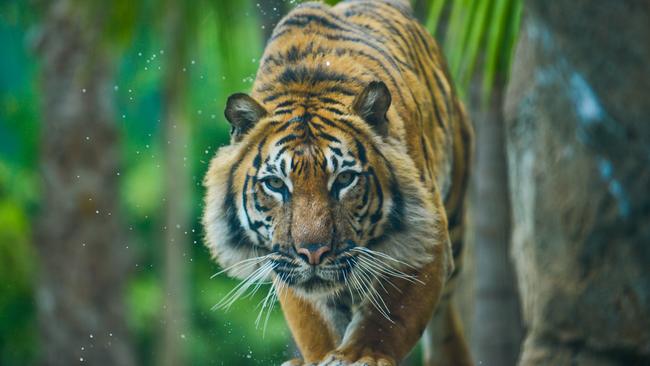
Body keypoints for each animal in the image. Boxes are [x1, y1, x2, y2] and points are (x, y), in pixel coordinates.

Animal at [202, 0, 470, 366]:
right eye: (276, 184)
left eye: (344, 179)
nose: (313, 253)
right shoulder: (285, 263)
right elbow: (315, 322)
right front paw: (323, 355)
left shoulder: (427, 238)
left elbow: (390, 316)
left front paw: (361, 355)